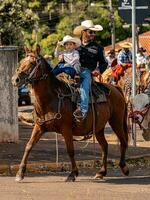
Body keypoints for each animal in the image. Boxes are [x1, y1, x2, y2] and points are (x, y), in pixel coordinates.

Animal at [11, 44, 129, 182]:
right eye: (20, 62)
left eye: (32, 63)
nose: (15, 79)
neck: (52, 98)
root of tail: (116, 88)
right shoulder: (39, 127)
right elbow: (28, 146)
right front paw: (20, 173)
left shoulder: (66, 129)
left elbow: (70, 150)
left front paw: (73, 173)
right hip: (99, 127)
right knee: (104, 146)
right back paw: (101, 172)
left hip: (116, 121)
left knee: (123, 141)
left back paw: (124, 167)